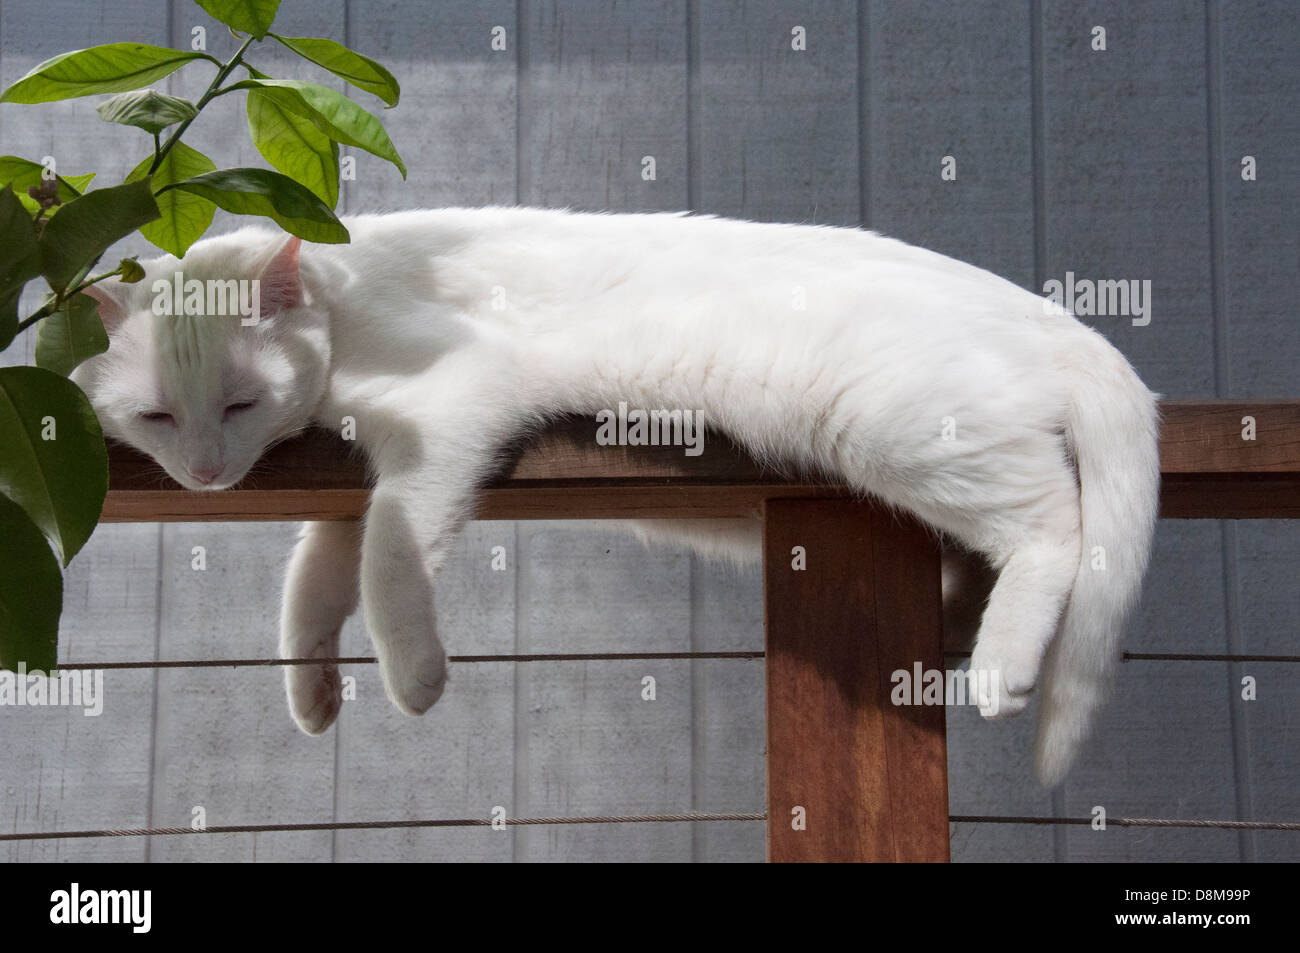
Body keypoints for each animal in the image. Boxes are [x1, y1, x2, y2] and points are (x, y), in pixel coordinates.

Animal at [71, 208, 1159, 780]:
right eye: (156, 415)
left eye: (238, 400)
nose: (206, 470)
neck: (345, 299)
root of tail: (1048, 313)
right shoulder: (353, 482)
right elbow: (315, 576)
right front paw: (312, 695)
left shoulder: (452, 405)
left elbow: (386, 555)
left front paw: (414, 677)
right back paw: (963, 625)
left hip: (903, 429)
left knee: (1052, 524)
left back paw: (1001, 667)